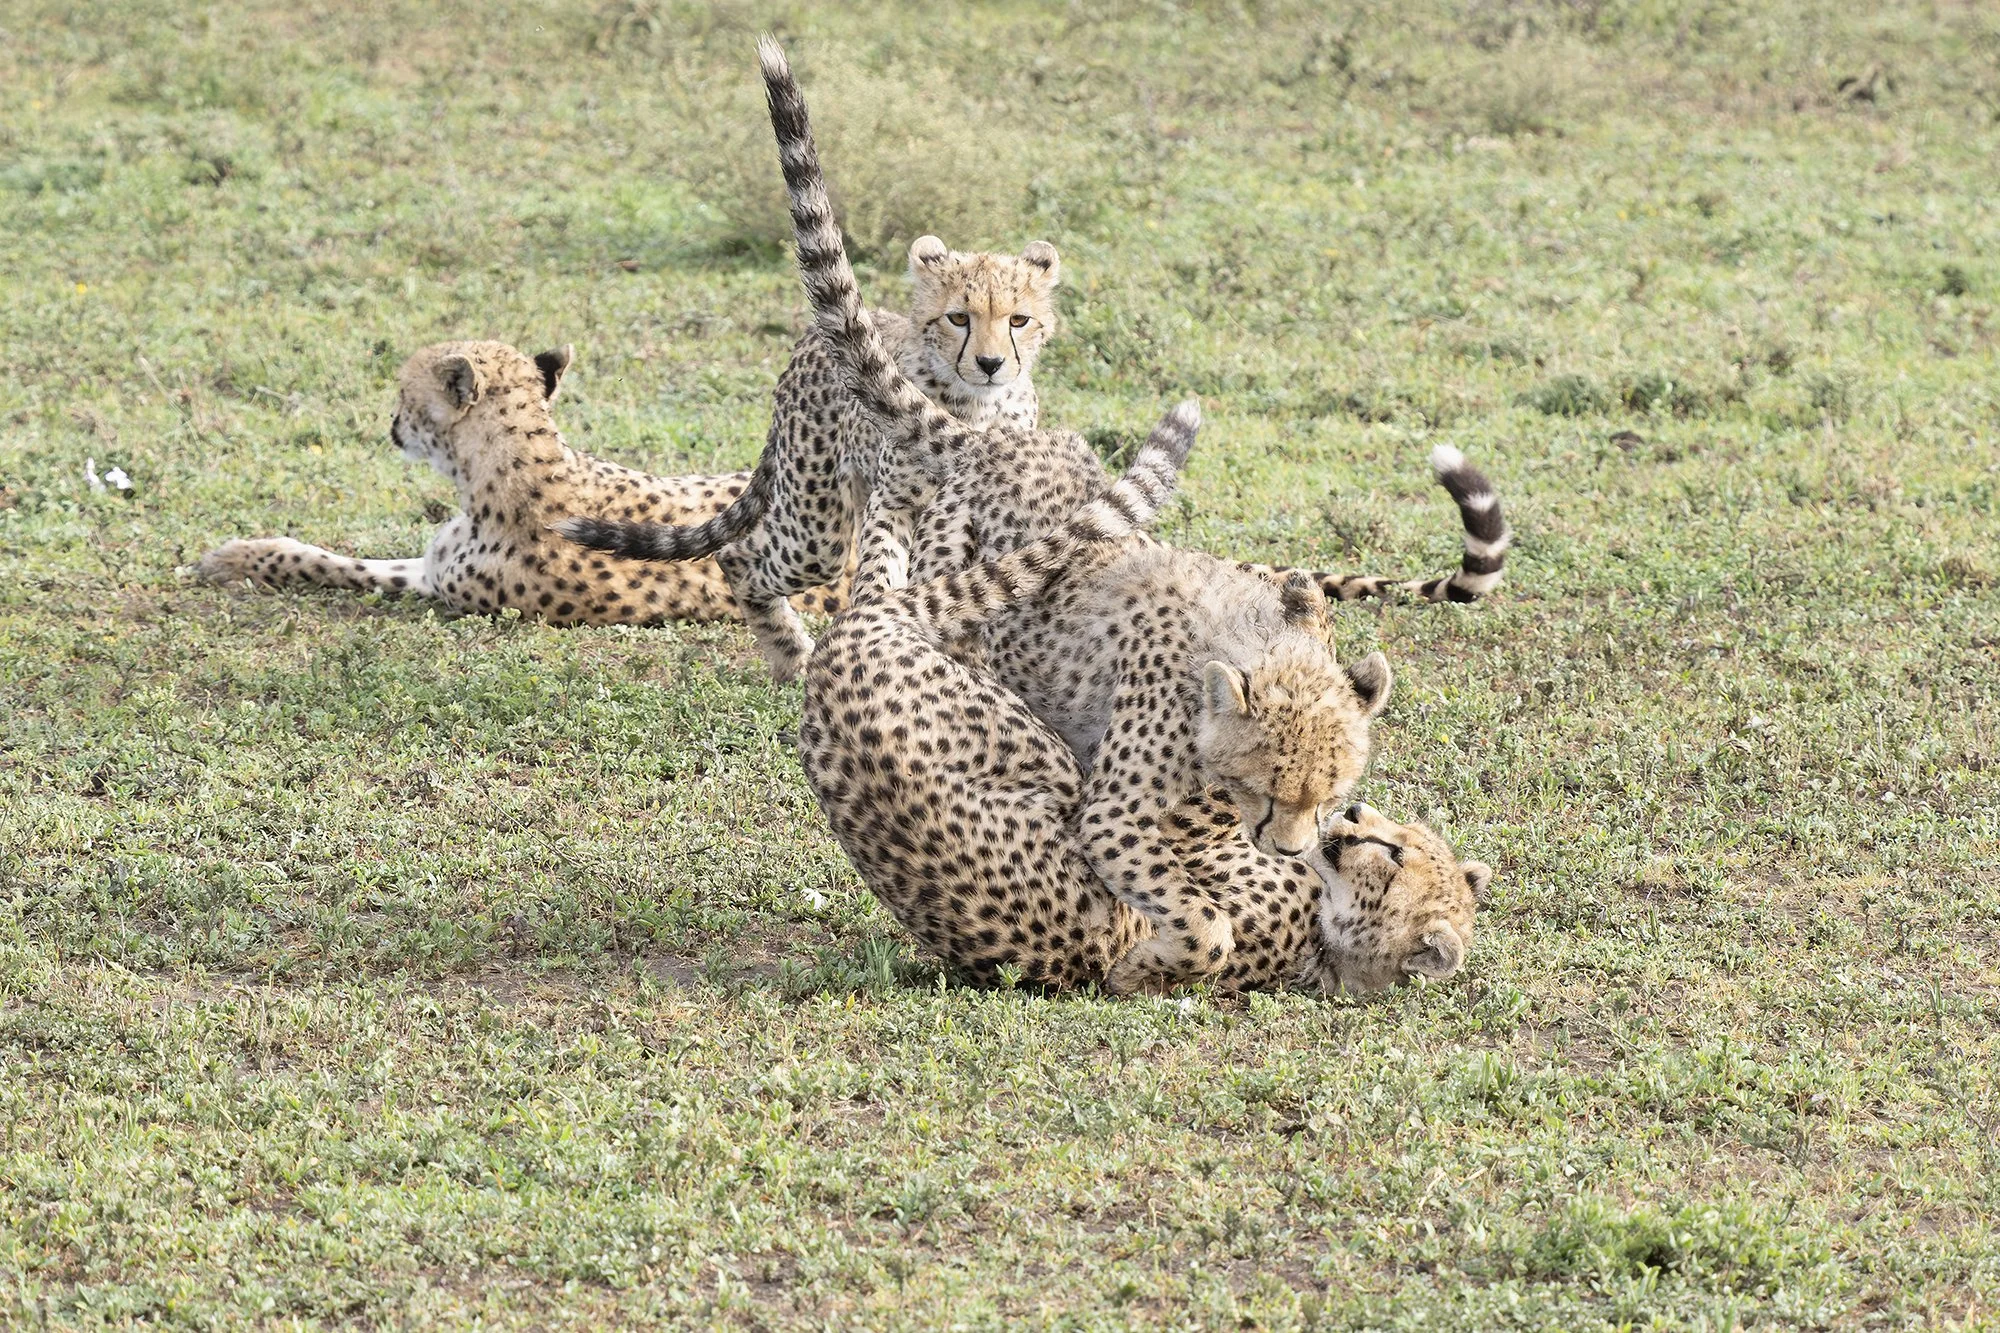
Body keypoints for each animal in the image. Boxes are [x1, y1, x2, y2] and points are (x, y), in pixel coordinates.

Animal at [197, 340, 846, 627]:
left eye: (405, 391)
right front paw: (238, 555)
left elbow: (339, 568)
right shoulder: (431, 565)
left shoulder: (444, 589)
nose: (391, 424)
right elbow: (325, 555)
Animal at [555, 234, 1060, 680]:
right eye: (958, 317)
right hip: (816, 535)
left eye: (1018, 320)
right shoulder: (893, 501)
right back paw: (791, 657)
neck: (976, 406)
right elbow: (879, 572)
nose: (991, 364)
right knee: (739, 555)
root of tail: (811, 336)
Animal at [749, 35, 1413, 994]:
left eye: (1327, 790)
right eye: (1269, 783)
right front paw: (1156, 962)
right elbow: (1205, 923)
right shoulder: (1114, 817)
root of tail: (998, 435)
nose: (1296, 847)